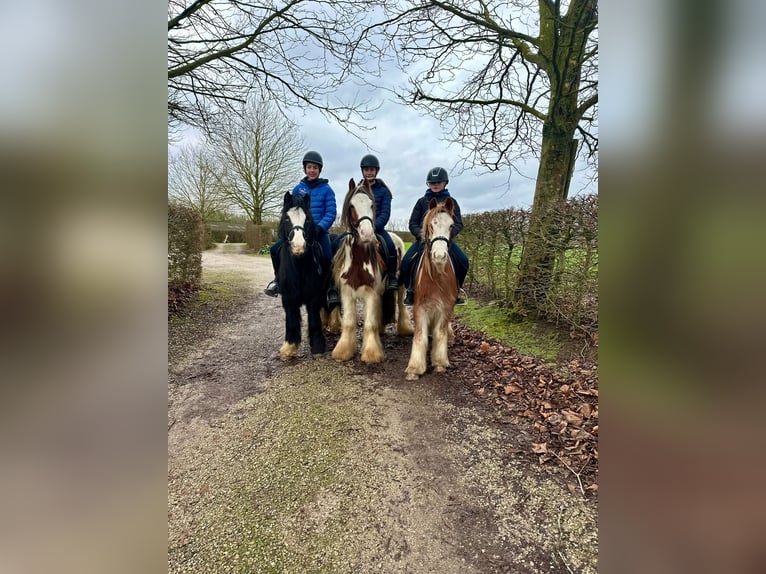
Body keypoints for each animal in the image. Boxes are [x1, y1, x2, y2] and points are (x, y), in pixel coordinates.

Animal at [330, 179, 414, 364]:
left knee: (400, 304)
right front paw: (344, 351)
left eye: (371, 204)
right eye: (352, 205)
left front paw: (371, 353)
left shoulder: (371, 293)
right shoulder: (347, 292)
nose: (367, 234)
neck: (359, 261)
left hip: (400, 286)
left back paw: (405, 329)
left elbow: (369, 323)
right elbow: (349, 322)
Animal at [404, 198, 460, 382]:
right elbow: (420, 336)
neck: (437, 276)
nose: (439, 256)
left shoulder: (446, 307)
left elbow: (440, 333)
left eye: (451, 225)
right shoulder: (420, 307)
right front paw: (414, 368)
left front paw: (440, 363)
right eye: (430, 225)